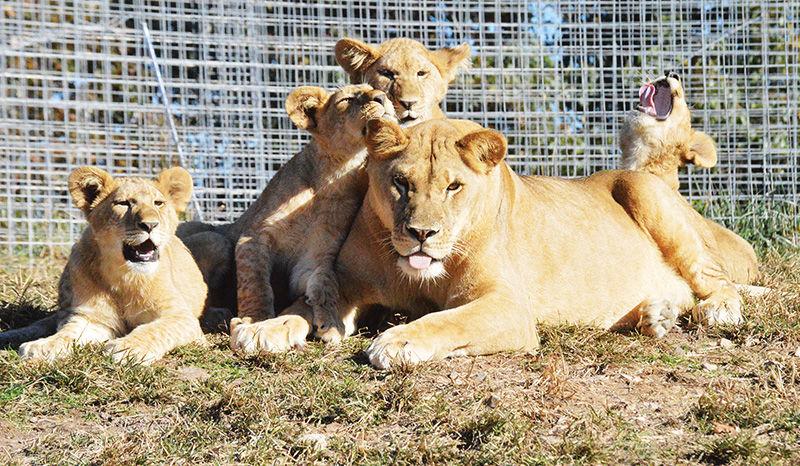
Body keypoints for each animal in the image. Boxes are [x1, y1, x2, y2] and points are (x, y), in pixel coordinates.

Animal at [2, 167, 207, 364]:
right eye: (123, 203)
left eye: (158, 203)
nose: (150, 225)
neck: (125, 276)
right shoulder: (93, 318)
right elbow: (68, 332)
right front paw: (43, 346)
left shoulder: (182, 317)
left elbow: (155, 330)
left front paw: (127, 348)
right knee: (48, 321)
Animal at [228, 84, 397, 353]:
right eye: (346, 99)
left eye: (376, 90)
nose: (383, 97)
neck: (332, 176)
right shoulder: (253, 237)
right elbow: (254, 283)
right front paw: (254, 319)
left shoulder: (317, 255)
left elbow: (324, 282)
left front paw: (329, 321)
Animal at [260, 118, 743, 368]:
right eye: (400, 183)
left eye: (454, 187)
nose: (421, 234)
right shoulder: (348, 285)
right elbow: (305, 305)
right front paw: (265, 328)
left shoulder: (508, 305)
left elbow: (448, 321)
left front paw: (397, 341)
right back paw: (654, 314)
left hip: (643, 191)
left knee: (715, 280)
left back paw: (716, 309)